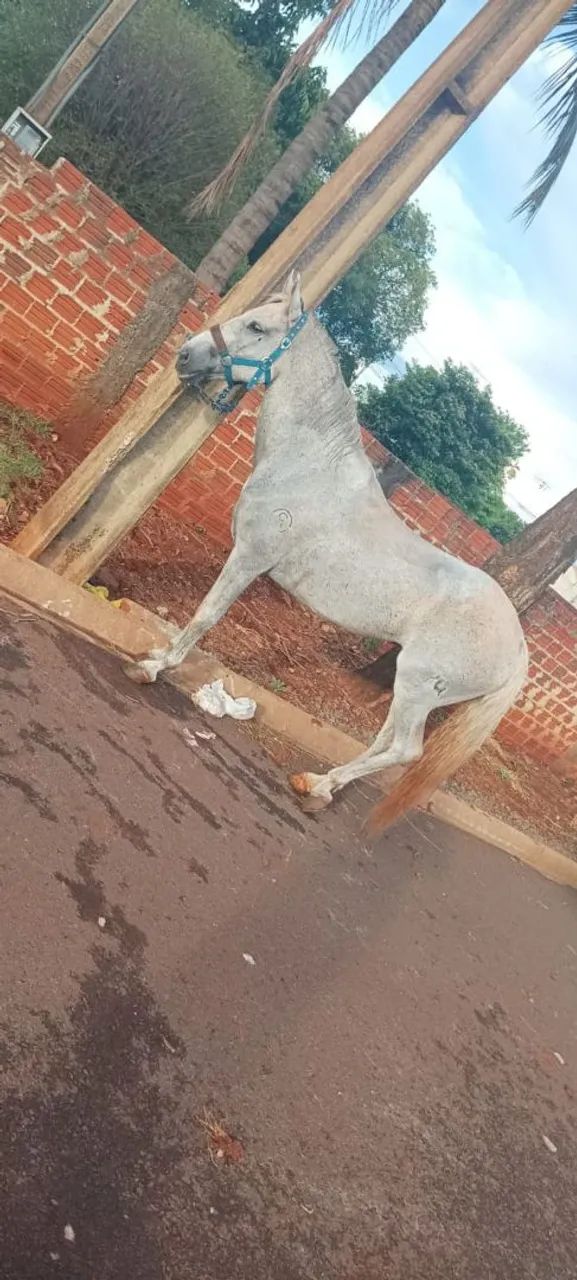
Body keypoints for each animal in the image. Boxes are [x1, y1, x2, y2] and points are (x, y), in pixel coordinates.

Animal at [126, 271, 527, 830]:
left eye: (258, 326)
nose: (186, 354)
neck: (308, 467)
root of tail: (518, 648)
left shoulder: (249, 557)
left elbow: (206, 615)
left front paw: (154, 666)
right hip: (412, 689)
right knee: (385, 740)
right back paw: (321, 783)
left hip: (418, 683)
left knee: (405, 750)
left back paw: (317, 786)